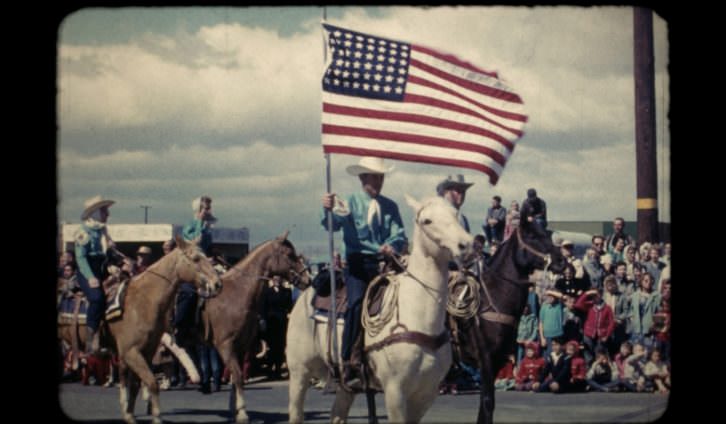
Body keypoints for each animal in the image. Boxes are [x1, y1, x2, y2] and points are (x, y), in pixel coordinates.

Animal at [107, 235, 222, 424]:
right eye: (196, 259)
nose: (218, 284)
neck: (143, 303)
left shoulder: (144, 351)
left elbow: (139, 383)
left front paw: (132, 413)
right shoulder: (131, 351)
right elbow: (151, 383)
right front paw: (152, 416)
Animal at [200, 232, 312, 424]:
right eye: (289, 254)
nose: (308, 280)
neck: (236, 293)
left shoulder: (241, 346)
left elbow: (237, 378)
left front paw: (236, 411)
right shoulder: (225, 346)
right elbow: (237, 376)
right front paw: (242, 413)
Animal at [288, 196, 480, 424]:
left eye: (456, 214)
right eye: (427, 221)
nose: (467, 245)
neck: (419, 316)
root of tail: (307, 291)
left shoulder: (427, 393)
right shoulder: (395, 391)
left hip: (345, 384)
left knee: (337, 414)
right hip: (299, 372)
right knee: (296, 412)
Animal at [456, 219, 568, 424]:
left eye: (547, 234)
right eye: (532, 236)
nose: (562, 261)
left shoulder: (497, 359)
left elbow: (486, 406)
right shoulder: (486, 358)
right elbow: (487, 402)